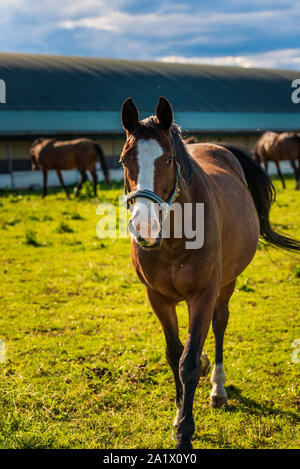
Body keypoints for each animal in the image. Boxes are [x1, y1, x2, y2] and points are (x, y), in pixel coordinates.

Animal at [120, 96, 300, 450]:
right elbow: (174, 354)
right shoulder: (158, 298)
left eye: (169, 159)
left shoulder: (202, 294)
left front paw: (185, 433)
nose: (144, 226)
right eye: (123, 161)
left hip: (227, 283)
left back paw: (218, 388)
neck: (174, 239)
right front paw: (178, 417)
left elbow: (188, 362)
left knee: (219, 325)